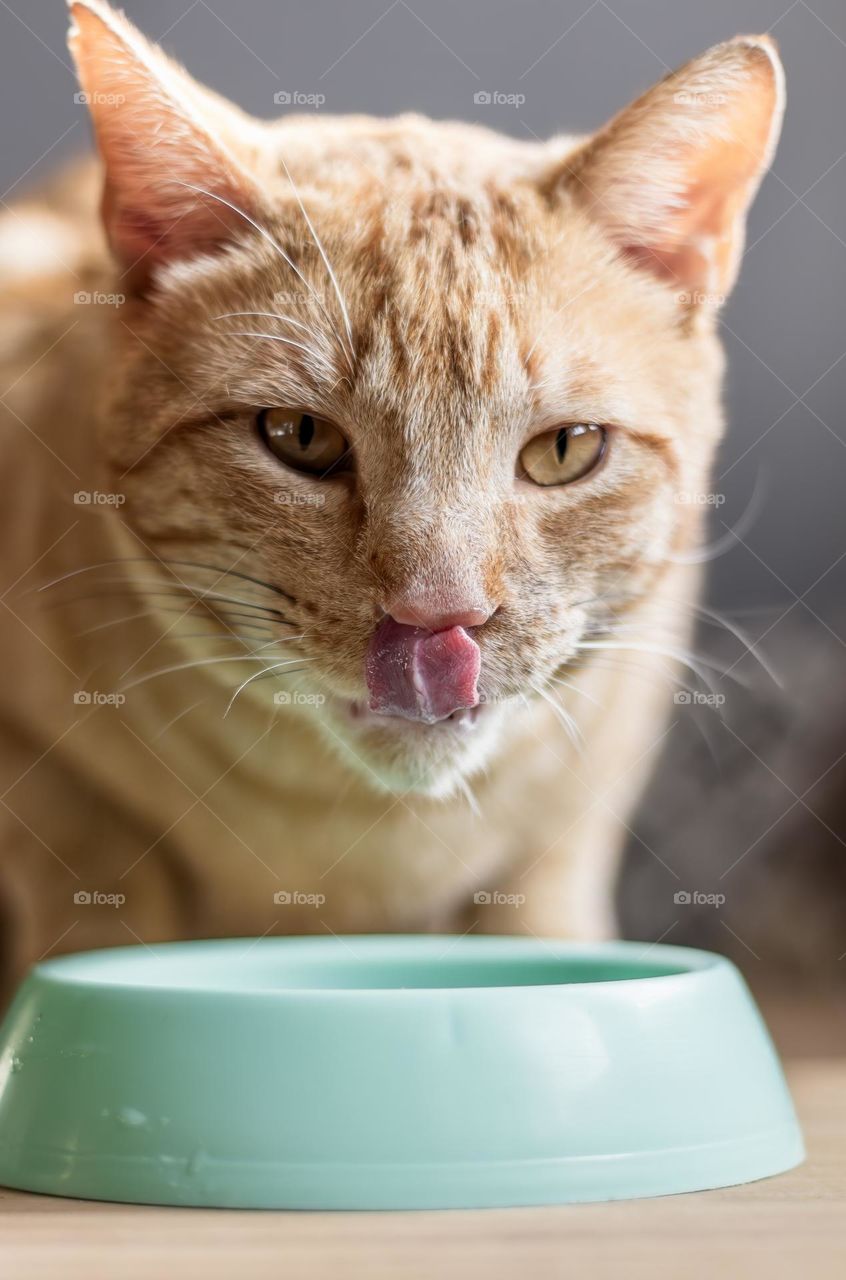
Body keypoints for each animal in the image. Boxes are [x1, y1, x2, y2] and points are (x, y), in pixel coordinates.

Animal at [0, 0, 783, 998]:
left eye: (566, 450)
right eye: (301, 436)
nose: (437, 619)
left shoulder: (576, 819)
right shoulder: (47, 785)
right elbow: (100, 885)